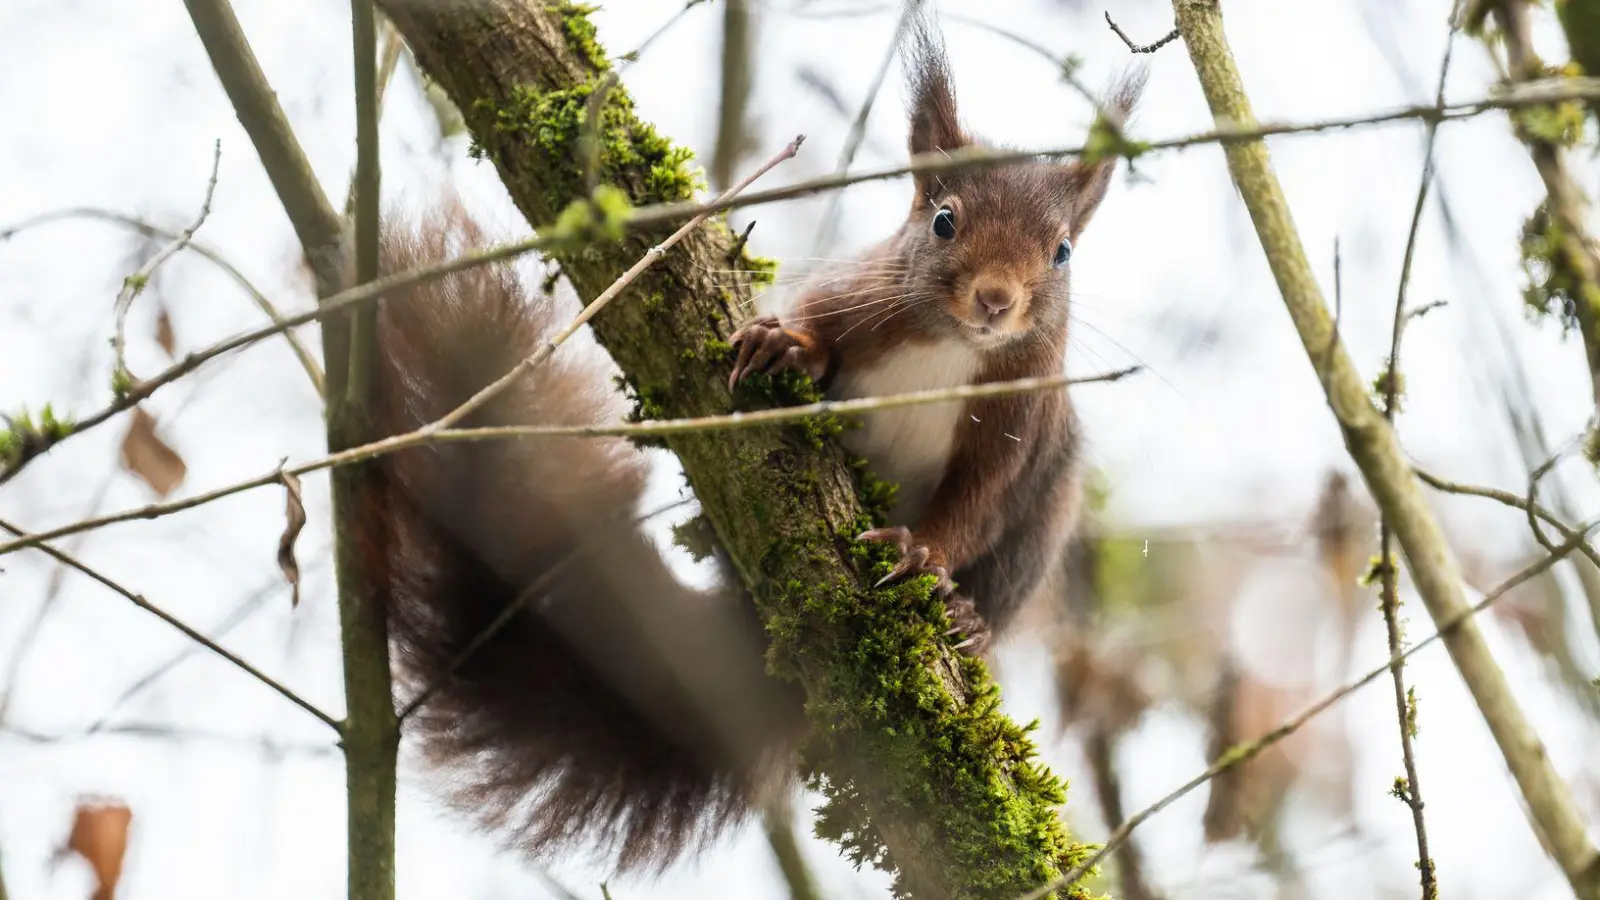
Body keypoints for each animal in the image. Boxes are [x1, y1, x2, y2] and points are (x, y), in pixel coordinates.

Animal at [361, 10, 1142, 881]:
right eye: (943, 219)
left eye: (1063, 251)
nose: (996, 300)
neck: (950, 348)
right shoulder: (853, 298)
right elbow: (819, 330)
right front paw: (784, 344)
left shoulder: (1017, 427)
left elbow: (976, 503)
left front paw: (923, 555)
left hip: (1043, 522)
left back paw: (968, 621)